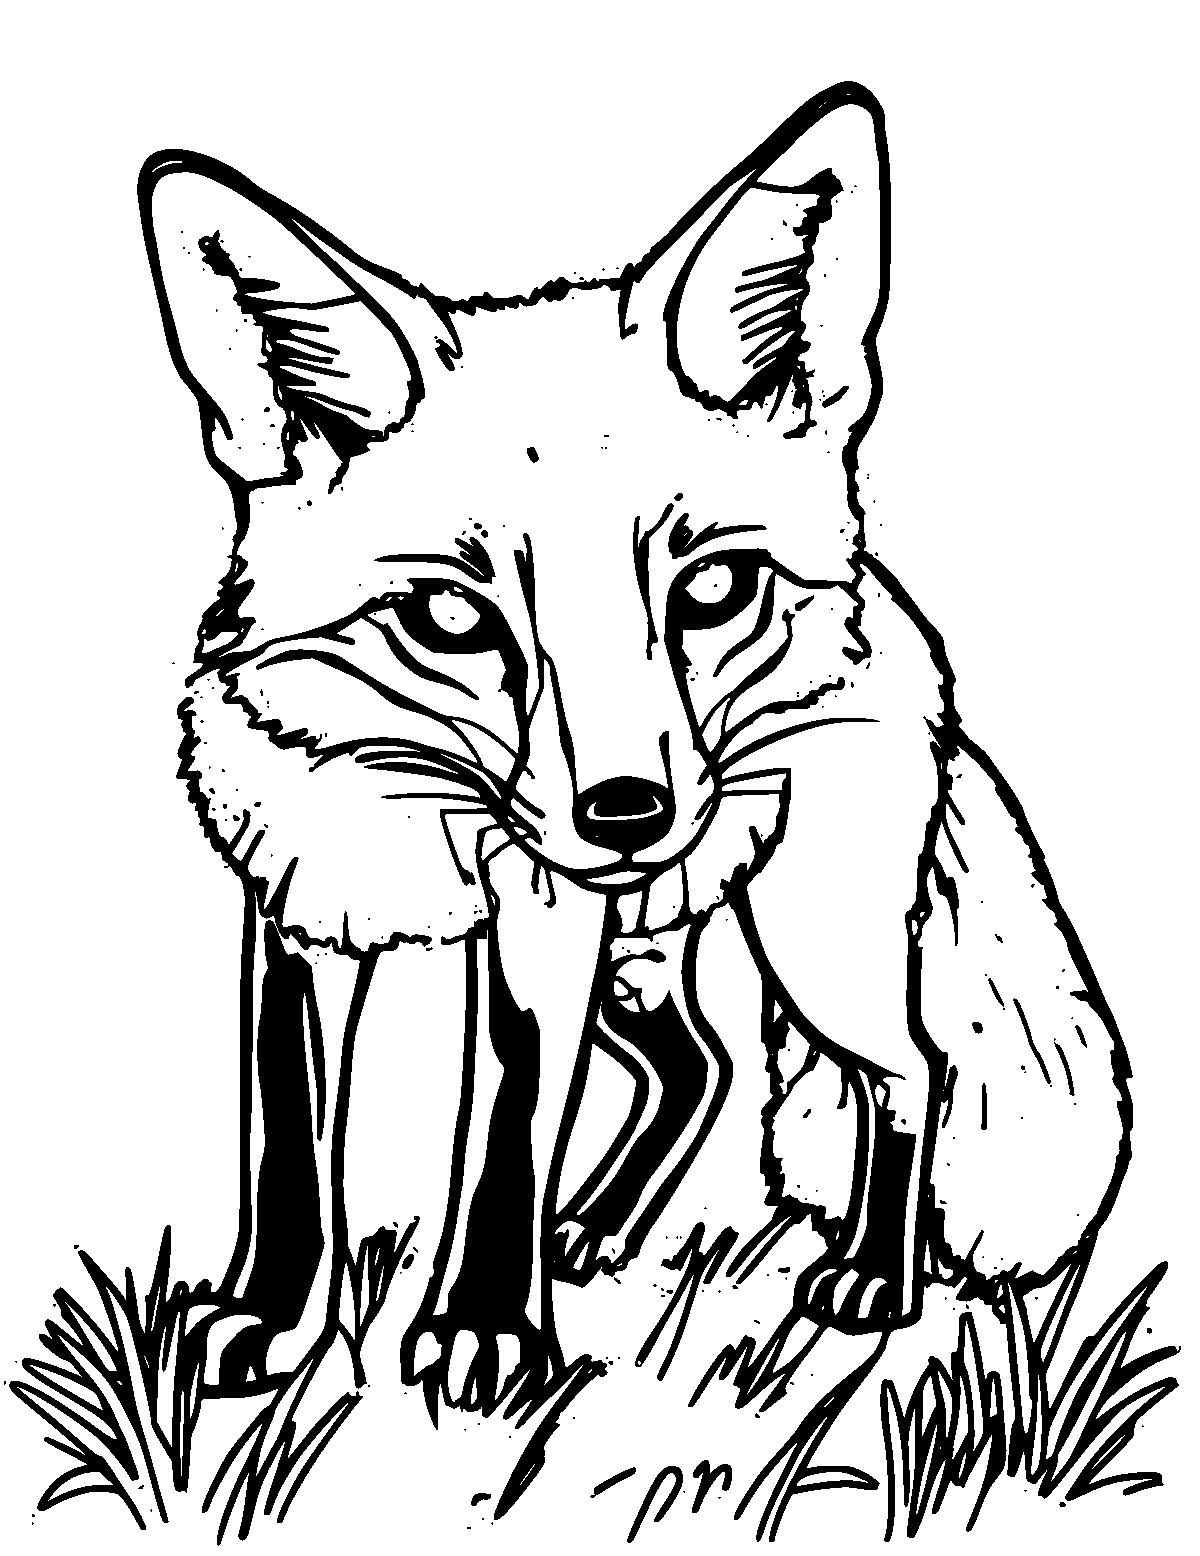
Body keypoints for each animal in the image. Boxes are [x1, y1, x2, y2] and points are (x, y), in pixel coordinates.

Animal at [140, 82, 1130, 1408]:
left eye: (710, 589)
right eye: (449, 615)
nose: (628, 812)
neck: (401, 793)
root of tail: (889, 608)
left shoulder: (538, 922)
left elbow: (506, 1122)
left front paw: (482, 1331)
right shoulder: (301, 913)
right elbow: (289, 1137)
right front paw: (278, 1320)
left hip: (808, 943)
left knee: (907, 1065)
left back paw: (872, 1275)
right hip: (643, 952)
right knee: (697, 1061)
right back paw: (600, 1226)